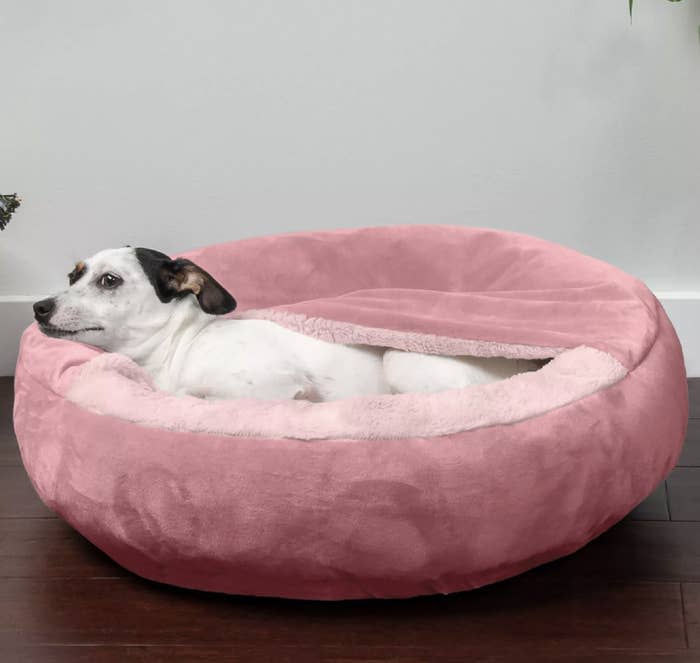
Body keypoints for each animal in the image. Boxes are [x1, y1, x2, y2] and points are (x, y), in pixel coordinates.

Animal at [31, 249, 536, 402]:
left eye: (109, 280)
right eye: (73, 275)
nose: (37, 306)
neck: (181, 347)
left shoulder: (266, 386)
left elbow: (196, 397)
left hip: (403, 359)